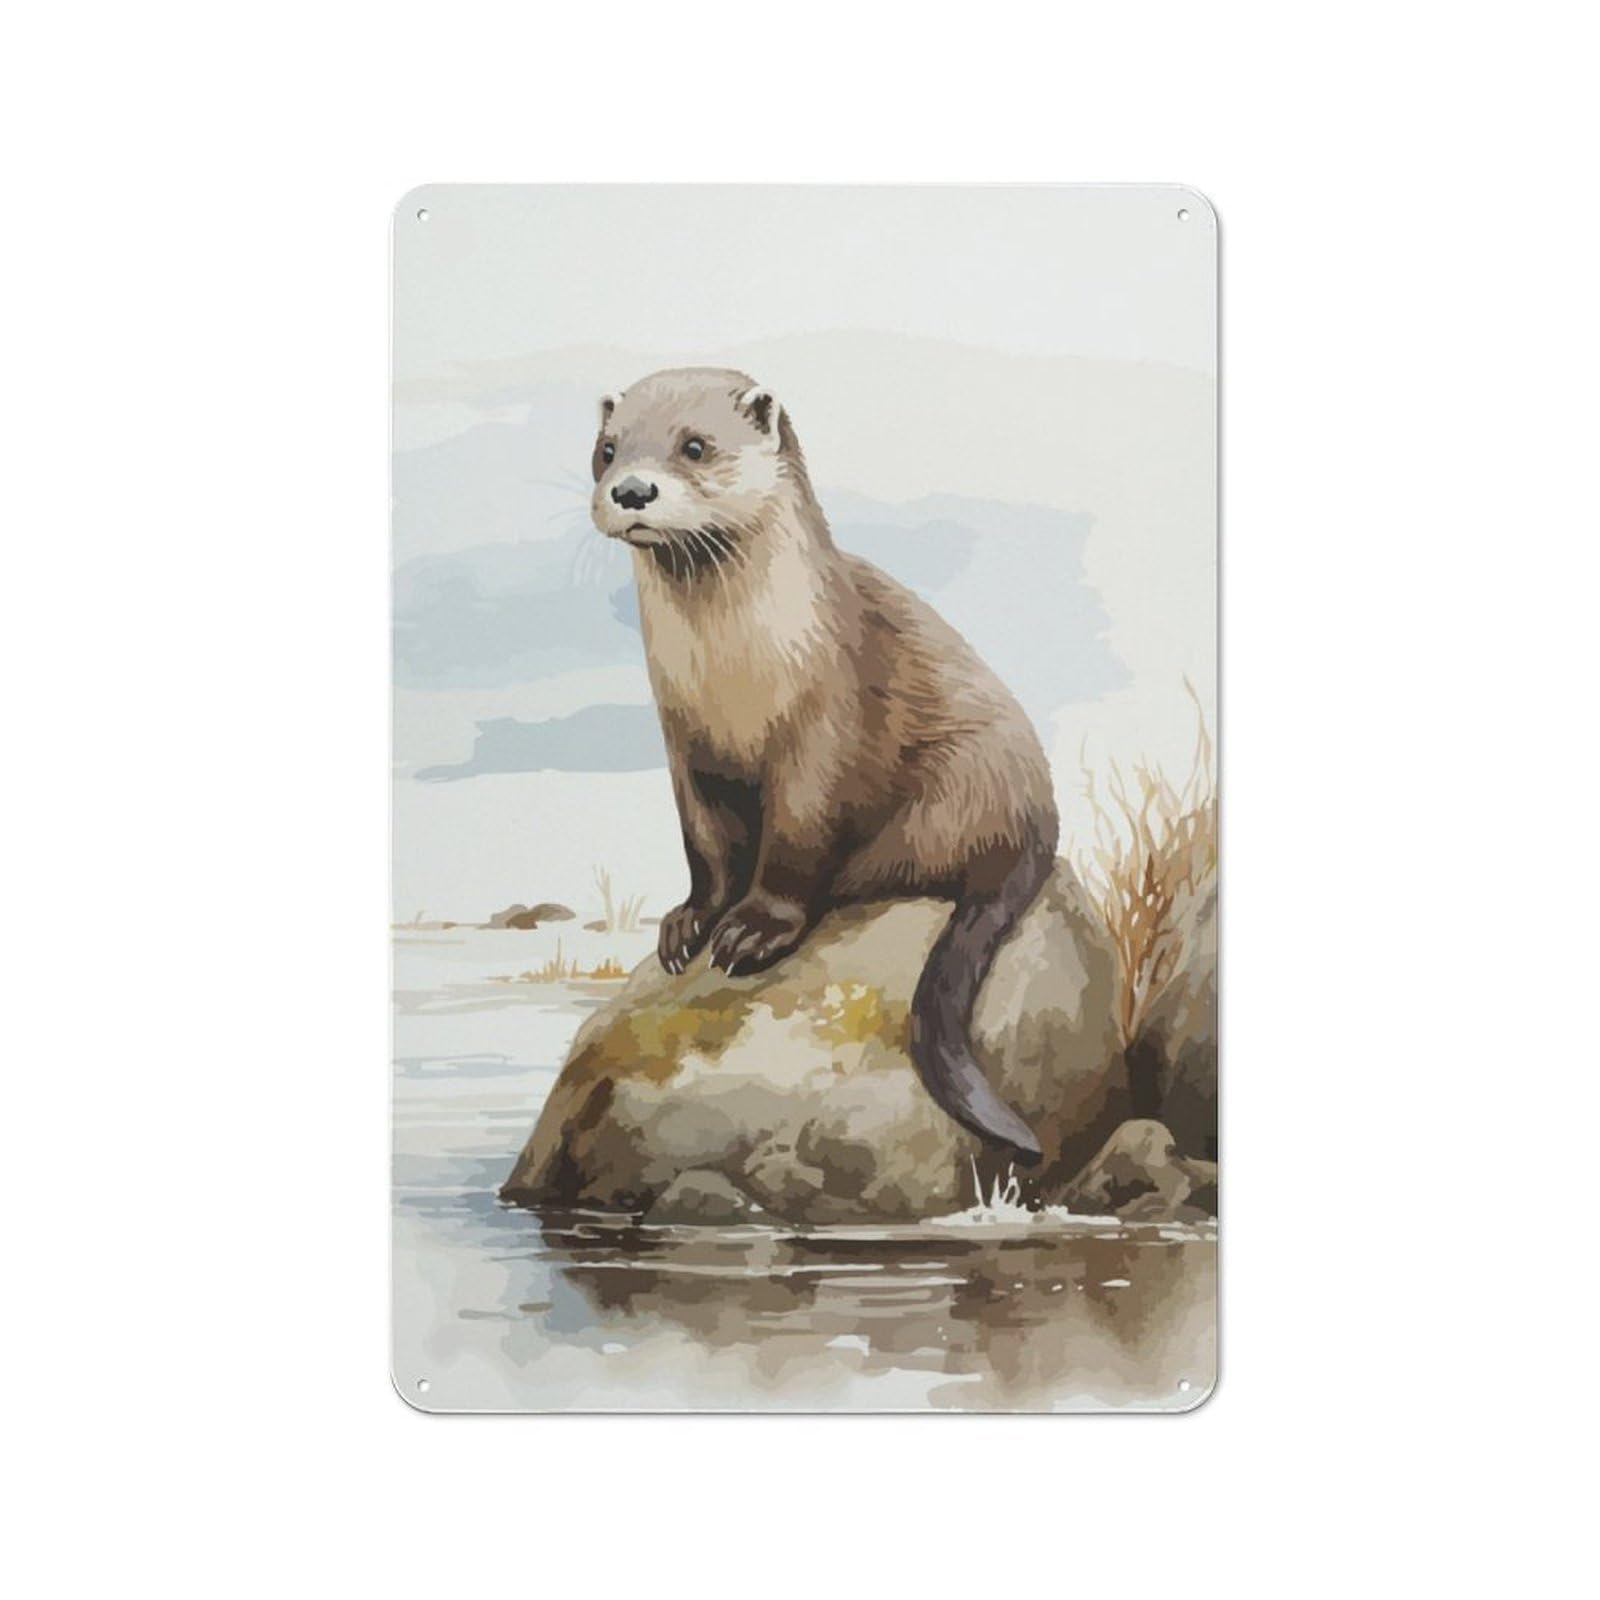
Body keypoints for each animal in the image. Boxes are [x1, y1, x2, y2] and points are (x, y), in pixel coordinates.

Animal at [590, 368, 1060, 1160]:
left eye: (695, 445)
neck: (735, 684)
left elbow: (796, 841)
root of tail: (1036, 818)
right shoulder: (685, 748)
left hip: (962, 783)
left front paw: (752, 930)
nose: (631, 489)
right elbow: (704, 844)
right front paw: (690, 921)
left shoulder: (823, 731)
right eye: (607, 449)